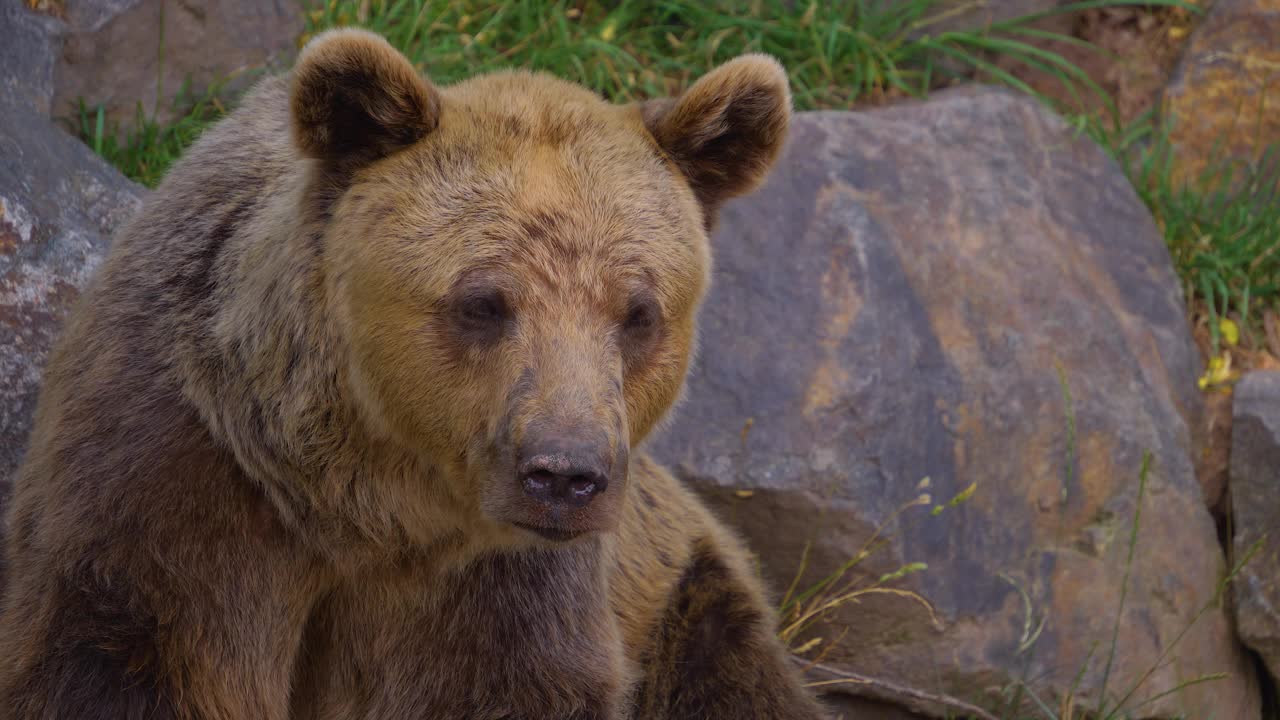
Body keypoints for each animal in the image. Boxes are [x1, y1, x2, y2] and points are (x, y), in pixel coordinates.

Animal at [0, 28, 829, 717]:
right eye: (483, 302)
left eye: (639, 313)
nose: (565, 475)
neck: (363, 503)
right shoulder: (177, 482)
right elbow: (128, 652)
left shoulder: (505, 587)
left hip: (686, 594)